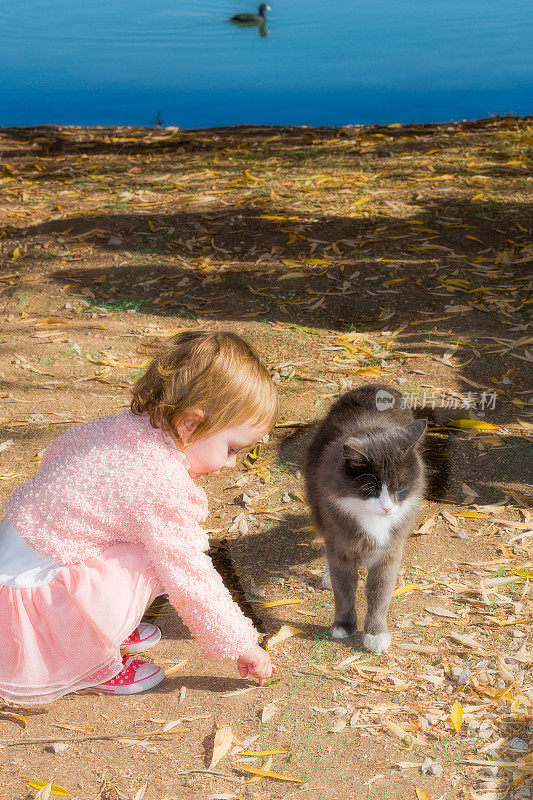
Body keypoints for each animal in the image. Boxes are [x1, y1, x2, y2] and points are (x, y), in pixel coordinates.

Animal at [302, 384, 426, 652]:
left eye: (401, 488)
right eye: (371, 490)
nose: (388, 508)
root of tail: (374, 386)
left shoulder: (389, 551)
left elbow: (380, 592)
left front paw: (376, 632)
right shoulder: (340, 542)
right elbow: (344, 588)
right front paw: (343, 624)